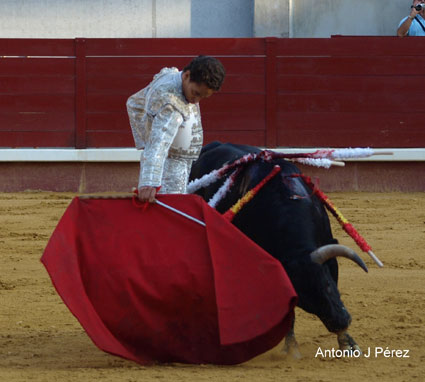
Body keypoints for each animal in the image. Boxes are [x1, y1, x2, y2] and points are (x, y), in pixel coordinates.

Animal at [190, 143, 368, 356]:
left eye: (326, 284)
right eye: (303, 300)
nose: (340, 322)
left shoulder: (327, 246)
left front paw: (347, 342)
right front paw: (291, 348)